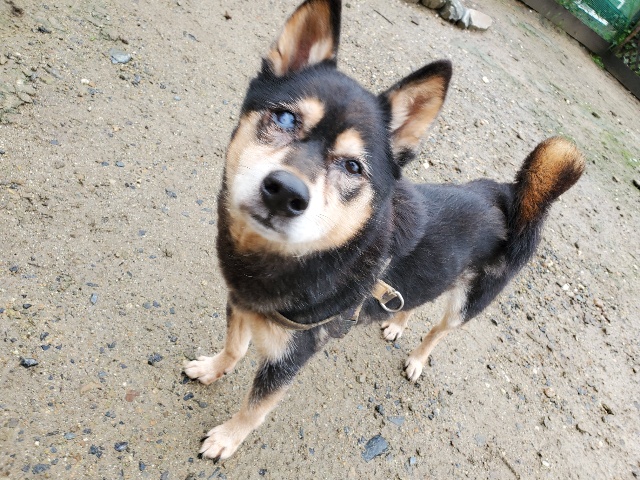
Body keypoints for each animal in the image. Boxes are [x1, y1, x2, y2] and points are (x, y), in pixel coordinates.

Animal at [184, 0, 585, 461]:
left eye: (353, 166)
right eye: (284, 117)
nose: (285, 193)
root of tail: (513, 198)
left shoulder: (292, 356)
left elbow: (255, 407)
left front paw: (226, 438)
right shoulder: (239, 303)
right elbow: (234, 346)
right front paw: (213, 368)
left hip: (468, 304)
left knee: (438, 330)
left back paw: (418, 358)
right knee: (416, 298)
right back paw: (396, 322)